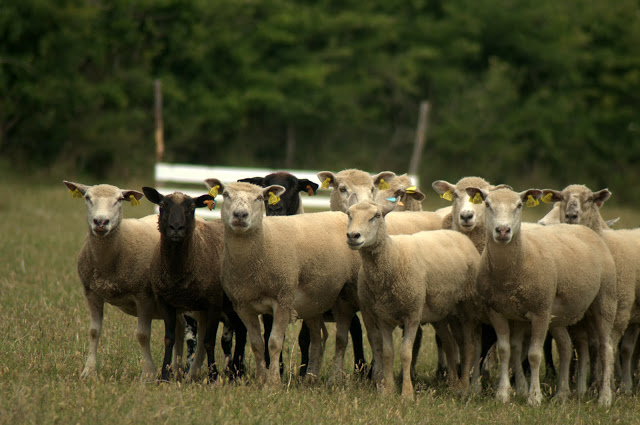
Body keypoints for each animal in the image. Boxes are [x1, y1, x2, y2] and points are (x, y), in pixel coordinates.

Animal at [64, 181, 182, 380]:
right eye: (87, 197)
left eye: (119, 200)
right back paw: (177, 369)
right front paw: (88, 371)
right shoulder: (91, 293)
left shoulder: (143, 295)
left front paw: (148, 374)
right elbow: (94, 331)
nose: (101, 222)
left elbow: (142, 335)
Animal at [142, 187, 248, 380]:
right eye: (162, 206)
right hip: (232, 305)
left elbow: (209, 341)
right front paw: (164, 375)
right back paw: (235, 372)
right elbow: (169, 339)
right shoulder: (165, 302)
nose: (176, 228)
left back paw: (234, 372)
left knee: (242, 331)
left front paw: (213, 376)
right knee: (242, 331)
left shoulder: (214, 303)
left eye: (191, 208)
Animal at [208, 178, 362, 384]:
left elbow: (274, 343)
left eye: (259, 198)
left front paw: (273, 382)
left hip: (346, 295)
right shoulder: (243, 305)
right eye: (225, 194)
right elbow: (257, 344)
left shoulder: (283, 299)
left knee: (343, 338)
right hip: (315, 300)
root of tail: (343, 213)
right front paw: (260, 380)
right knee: (319, 337)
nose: (240, 215)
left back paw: (335, 378)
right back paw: (310, 379)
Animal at [344, 198, 480, 398]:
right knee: (449, 343)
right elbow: (388, 353)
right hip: (443, 312)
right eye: (349, 214)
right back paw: (454, 383)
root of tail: (459, 235)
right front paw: (388, 391)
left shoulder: (413, 314)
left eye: (376, 215)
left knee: (468, 346)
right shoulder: (383, 317)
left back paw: (463, 388)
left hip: (467, 306)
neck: (392, 256)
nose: (353, 236)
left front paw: (407, 393)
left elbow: (405, 353)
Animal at [464, 186, 620, 408]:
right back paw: (562, 394)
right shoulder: (499, 312)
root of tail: (585, 230)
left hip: (605, 299)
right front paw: (504, 394)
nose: (502, 231)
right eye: (487, 204)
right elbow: (506, 350)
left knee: (606, 349)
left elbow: (534, 355)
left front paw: (534, 398)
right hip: (559, 314)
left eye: (519, 205)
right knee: (565, 346)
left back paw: (604, 398)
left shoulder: (540, 311)